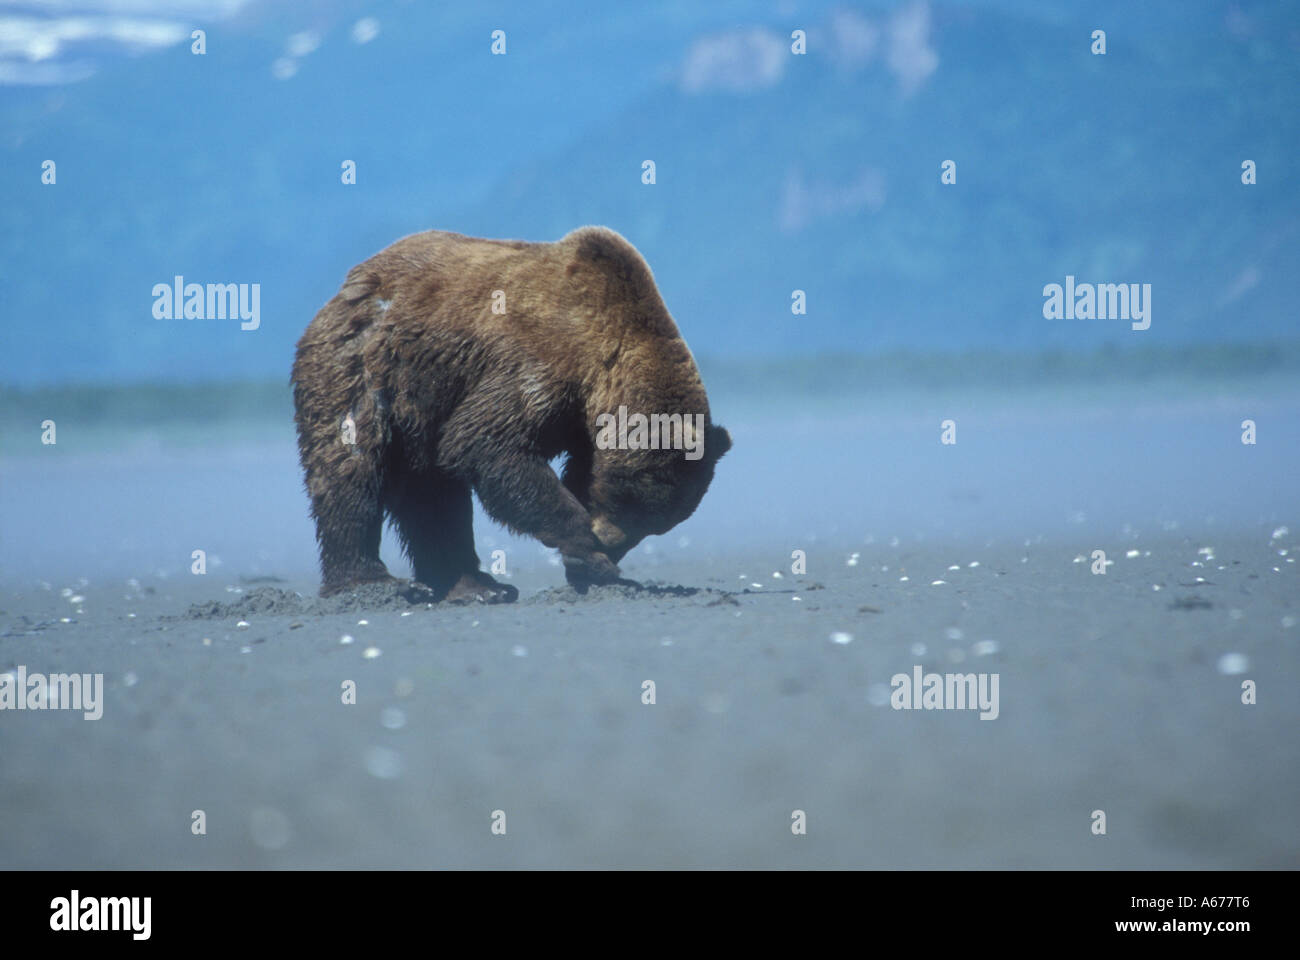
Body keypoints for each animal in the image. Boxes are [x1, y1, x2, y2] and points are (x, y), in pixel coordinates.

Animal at [291, 226, 731, 600]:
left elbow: (569, 468)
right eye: (626, 497)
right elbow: (487, 442)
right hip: (361, 366)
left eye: (657, 524)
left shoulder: (581, 425)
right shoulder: (537, 365)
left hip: (422, 405)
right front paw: (586, 548)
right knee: (351, 464)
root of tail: (348, 288)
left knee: (433, 491)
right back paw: (374, 582)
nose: (610, 541)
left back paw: (475, 585)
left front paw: (593, 566)